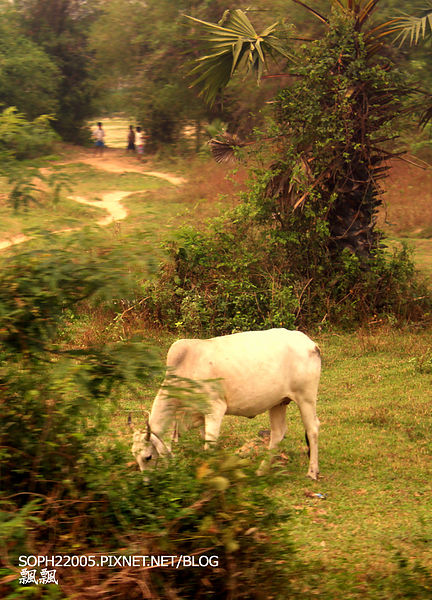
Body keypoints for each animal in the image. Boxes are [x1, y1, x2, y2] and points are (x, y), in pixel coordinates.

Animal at [131, 328, 320, 478]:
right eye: (135, 457)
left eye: (148, 457)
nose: (148, 483)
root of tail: (310, 343)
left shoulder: (215, 410)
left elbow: (210, 445)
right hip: (278, 403)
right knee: (278, 433)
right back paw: (262, 470)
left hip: (306, 398)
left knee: (313, 430)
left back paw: (312, 472)